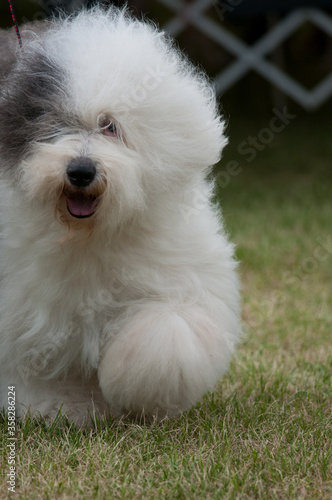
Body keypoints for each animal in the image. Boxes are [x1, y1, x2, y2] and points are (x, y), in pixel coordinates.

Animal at [0, 6, 240, 422]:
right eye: (53, 123)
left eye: (110, 126)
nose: (80, 171)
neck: (91, 232)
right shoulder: (32, 311)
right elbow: (41, 367)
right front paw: (64, 408)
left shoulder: (178, 278)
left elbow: (164, 333)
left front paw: (134, 385)